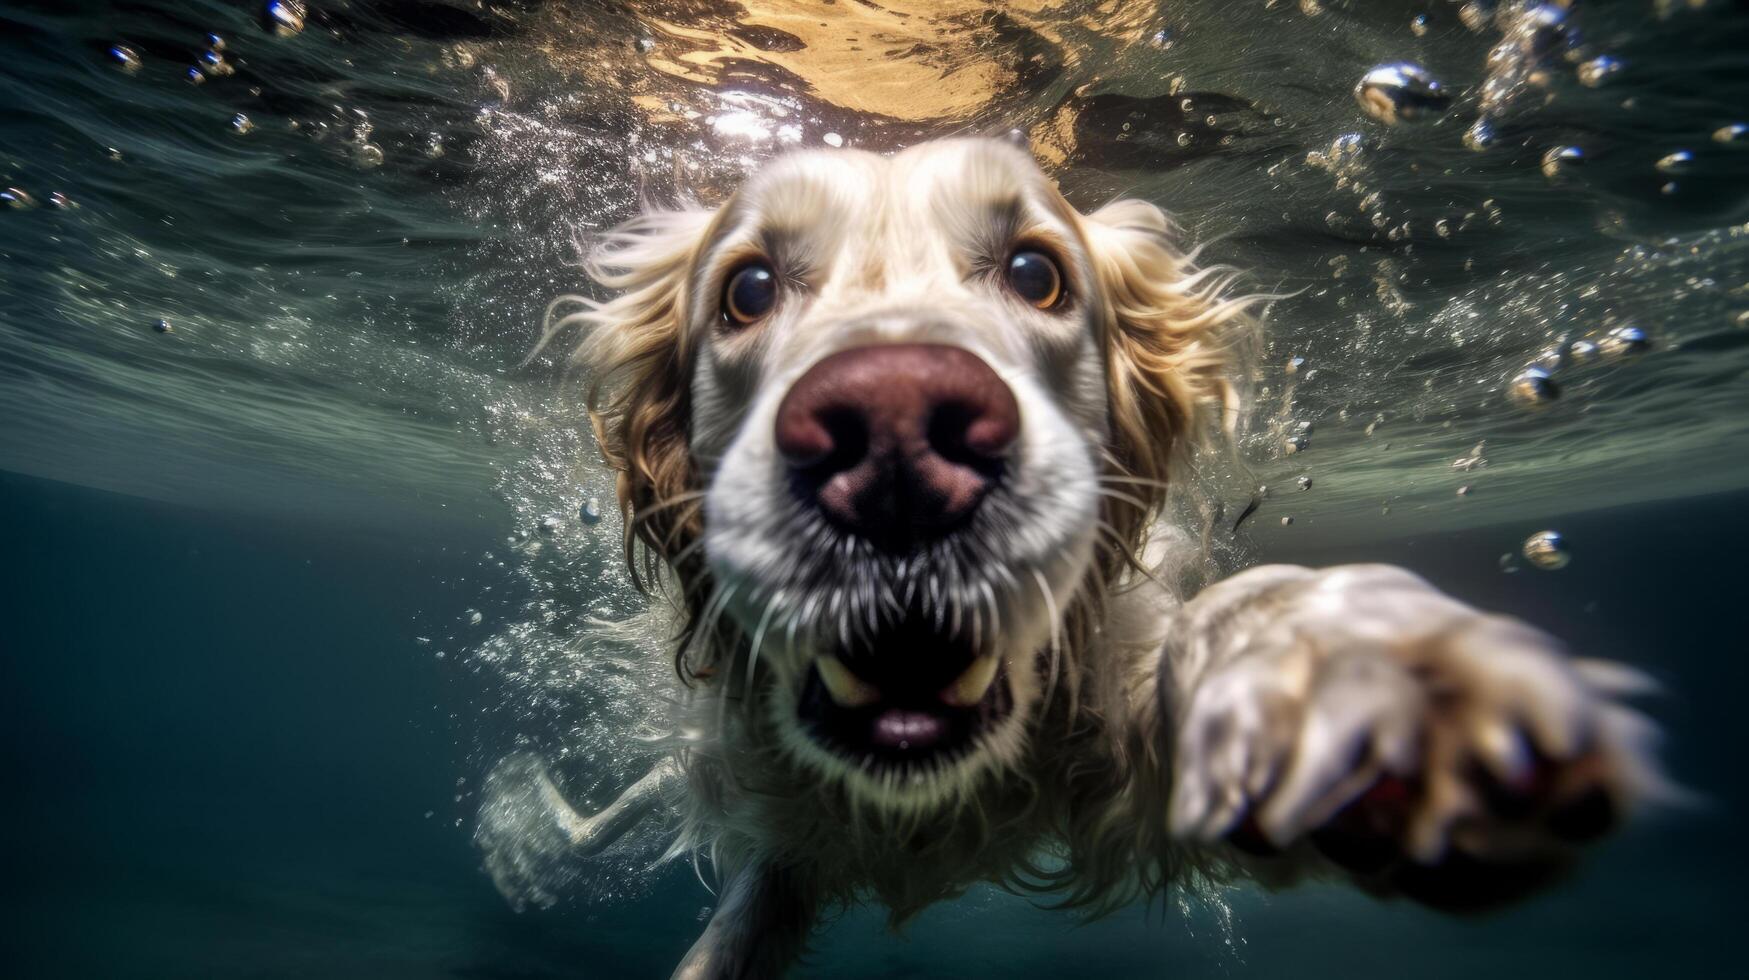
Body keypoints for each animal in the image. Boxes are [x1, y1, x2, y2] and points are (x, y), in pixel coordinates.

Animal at [475, 138, 1665, 980]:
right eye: (749, 290)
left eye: (1035, 273)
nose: (895, 435)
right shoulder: (778, 838)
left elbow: (1223, 632)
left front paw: (1356, 677)